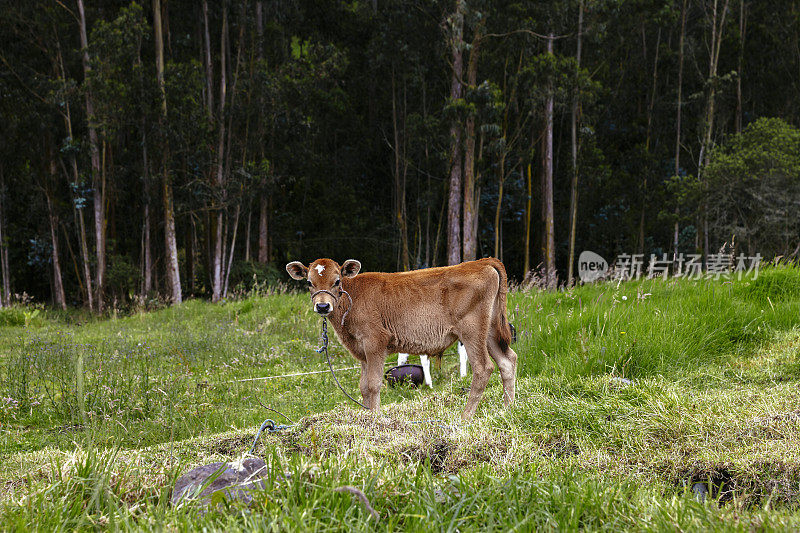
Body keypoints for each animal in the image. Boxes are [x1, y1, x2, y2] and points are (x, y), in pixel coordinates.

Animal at [288, 258, 520, 420]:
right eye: (309, 282)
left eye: (337, 281)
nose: (322, 306)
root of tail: (481, 262)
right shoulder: (361, 351)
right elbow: (363, 386)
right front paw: (367, 418)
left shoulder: (375, 342)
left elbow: (373, 384)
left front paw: (376, 419)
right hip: (490, 330)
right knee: (507, 361)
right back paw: (508, 410)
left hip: (472, 331)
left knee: (483, 368)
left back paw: (465, 417)